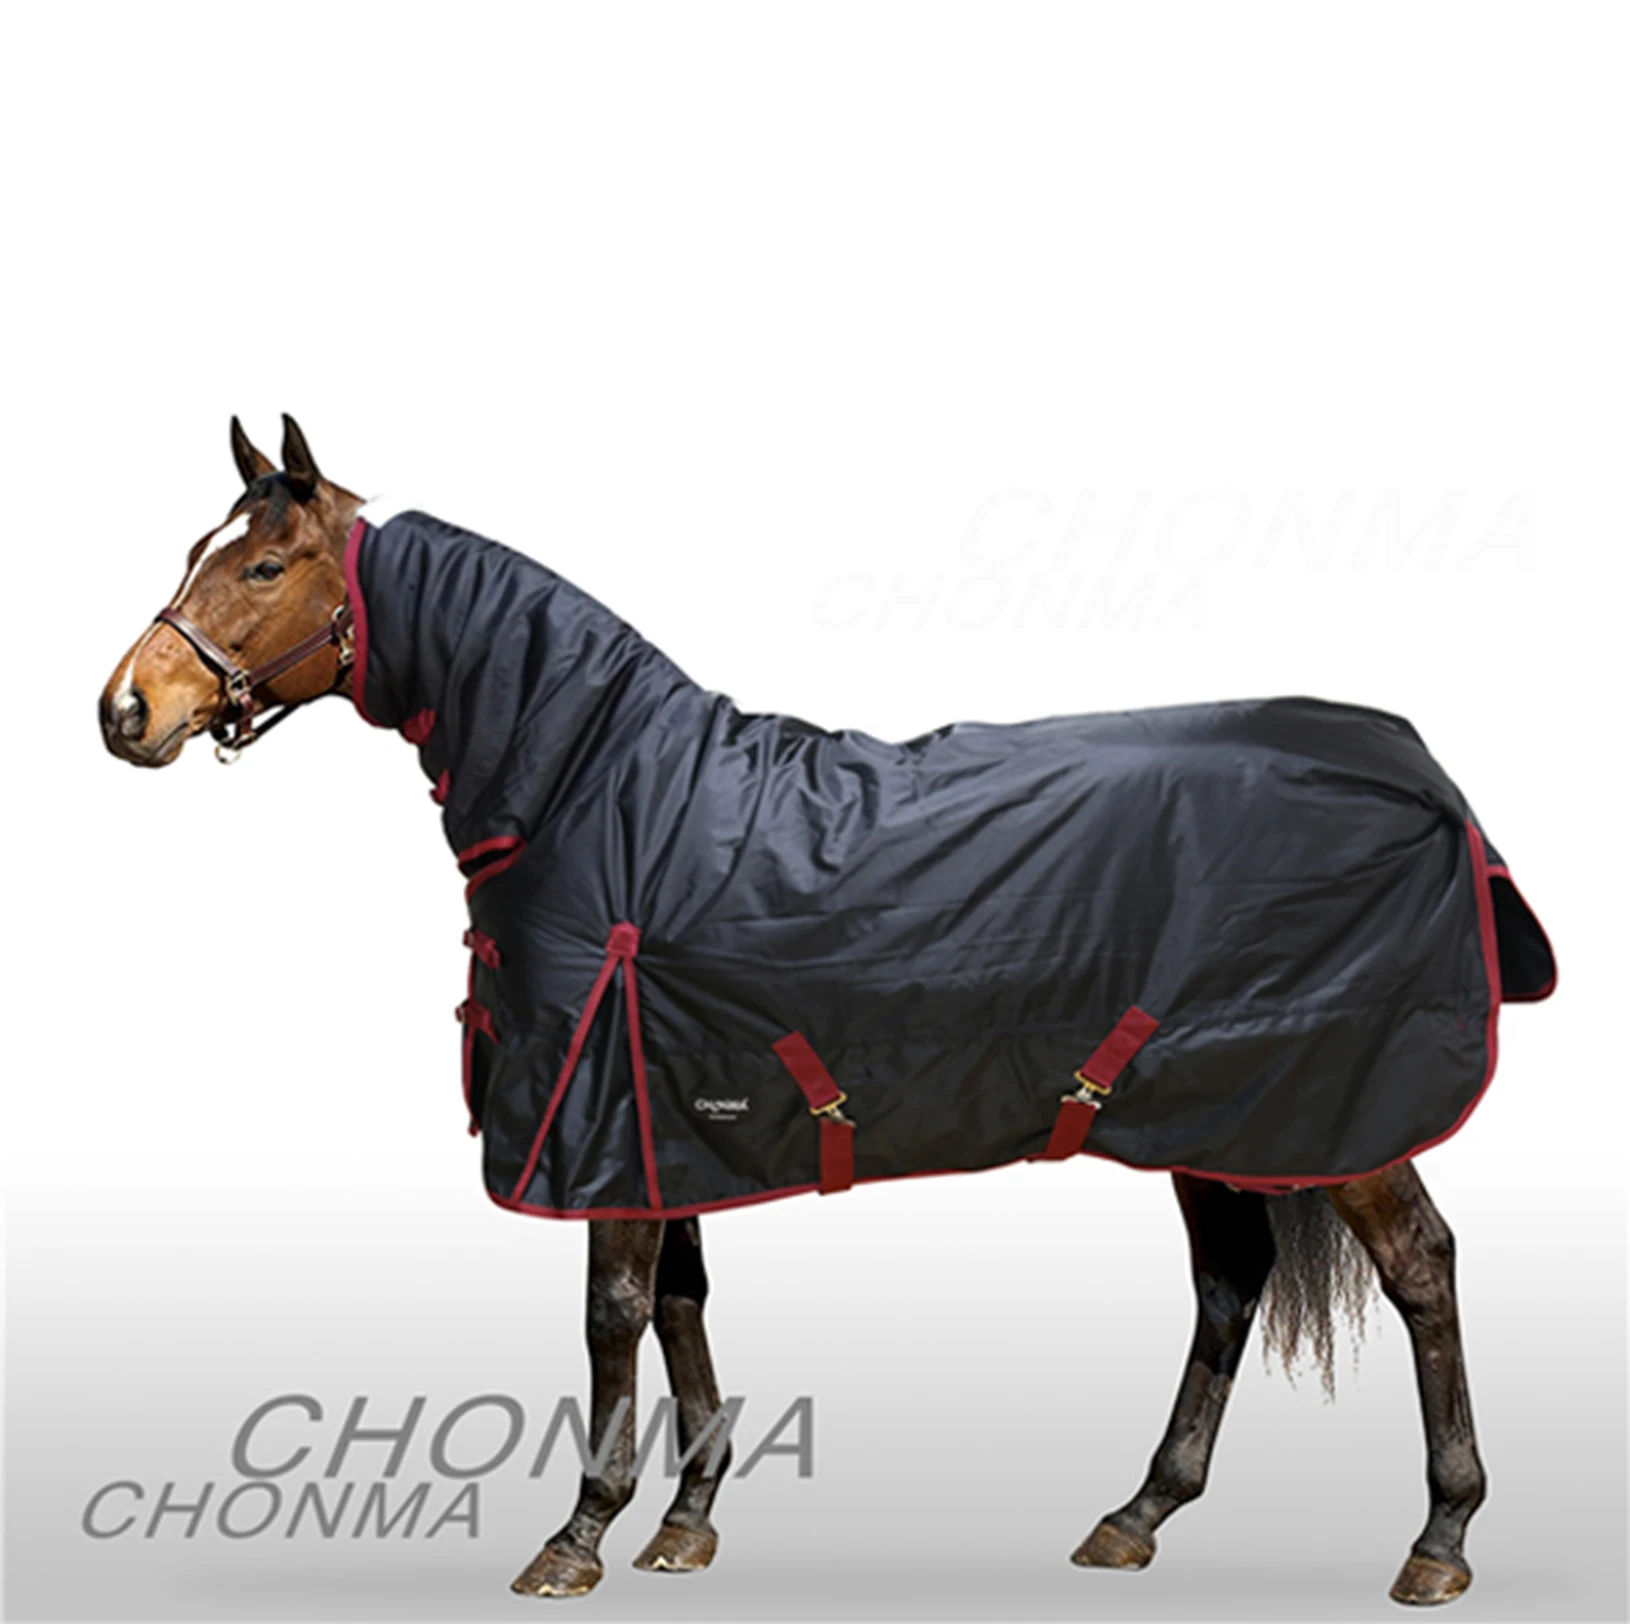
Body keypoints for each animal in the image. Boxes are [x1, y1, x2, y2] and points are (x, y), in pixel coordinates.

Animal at [99, 415, 1554, 1608]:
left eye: (263, 568)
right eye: (197, 550)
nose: (126, 710)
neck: (605, 792)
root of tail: (1420, 774)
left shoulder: (601, 1110)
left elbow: (613, 1314)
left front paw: (578, 1536)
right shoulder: (662, 1115)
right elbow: (679, 1300)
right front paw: (685, 1522)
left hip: (1335, 1110)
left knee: (1419, 1267)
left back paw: (1439, 1540)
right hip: (1218, 1108)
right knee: (1230, 1280)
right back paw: (1137, 1514)